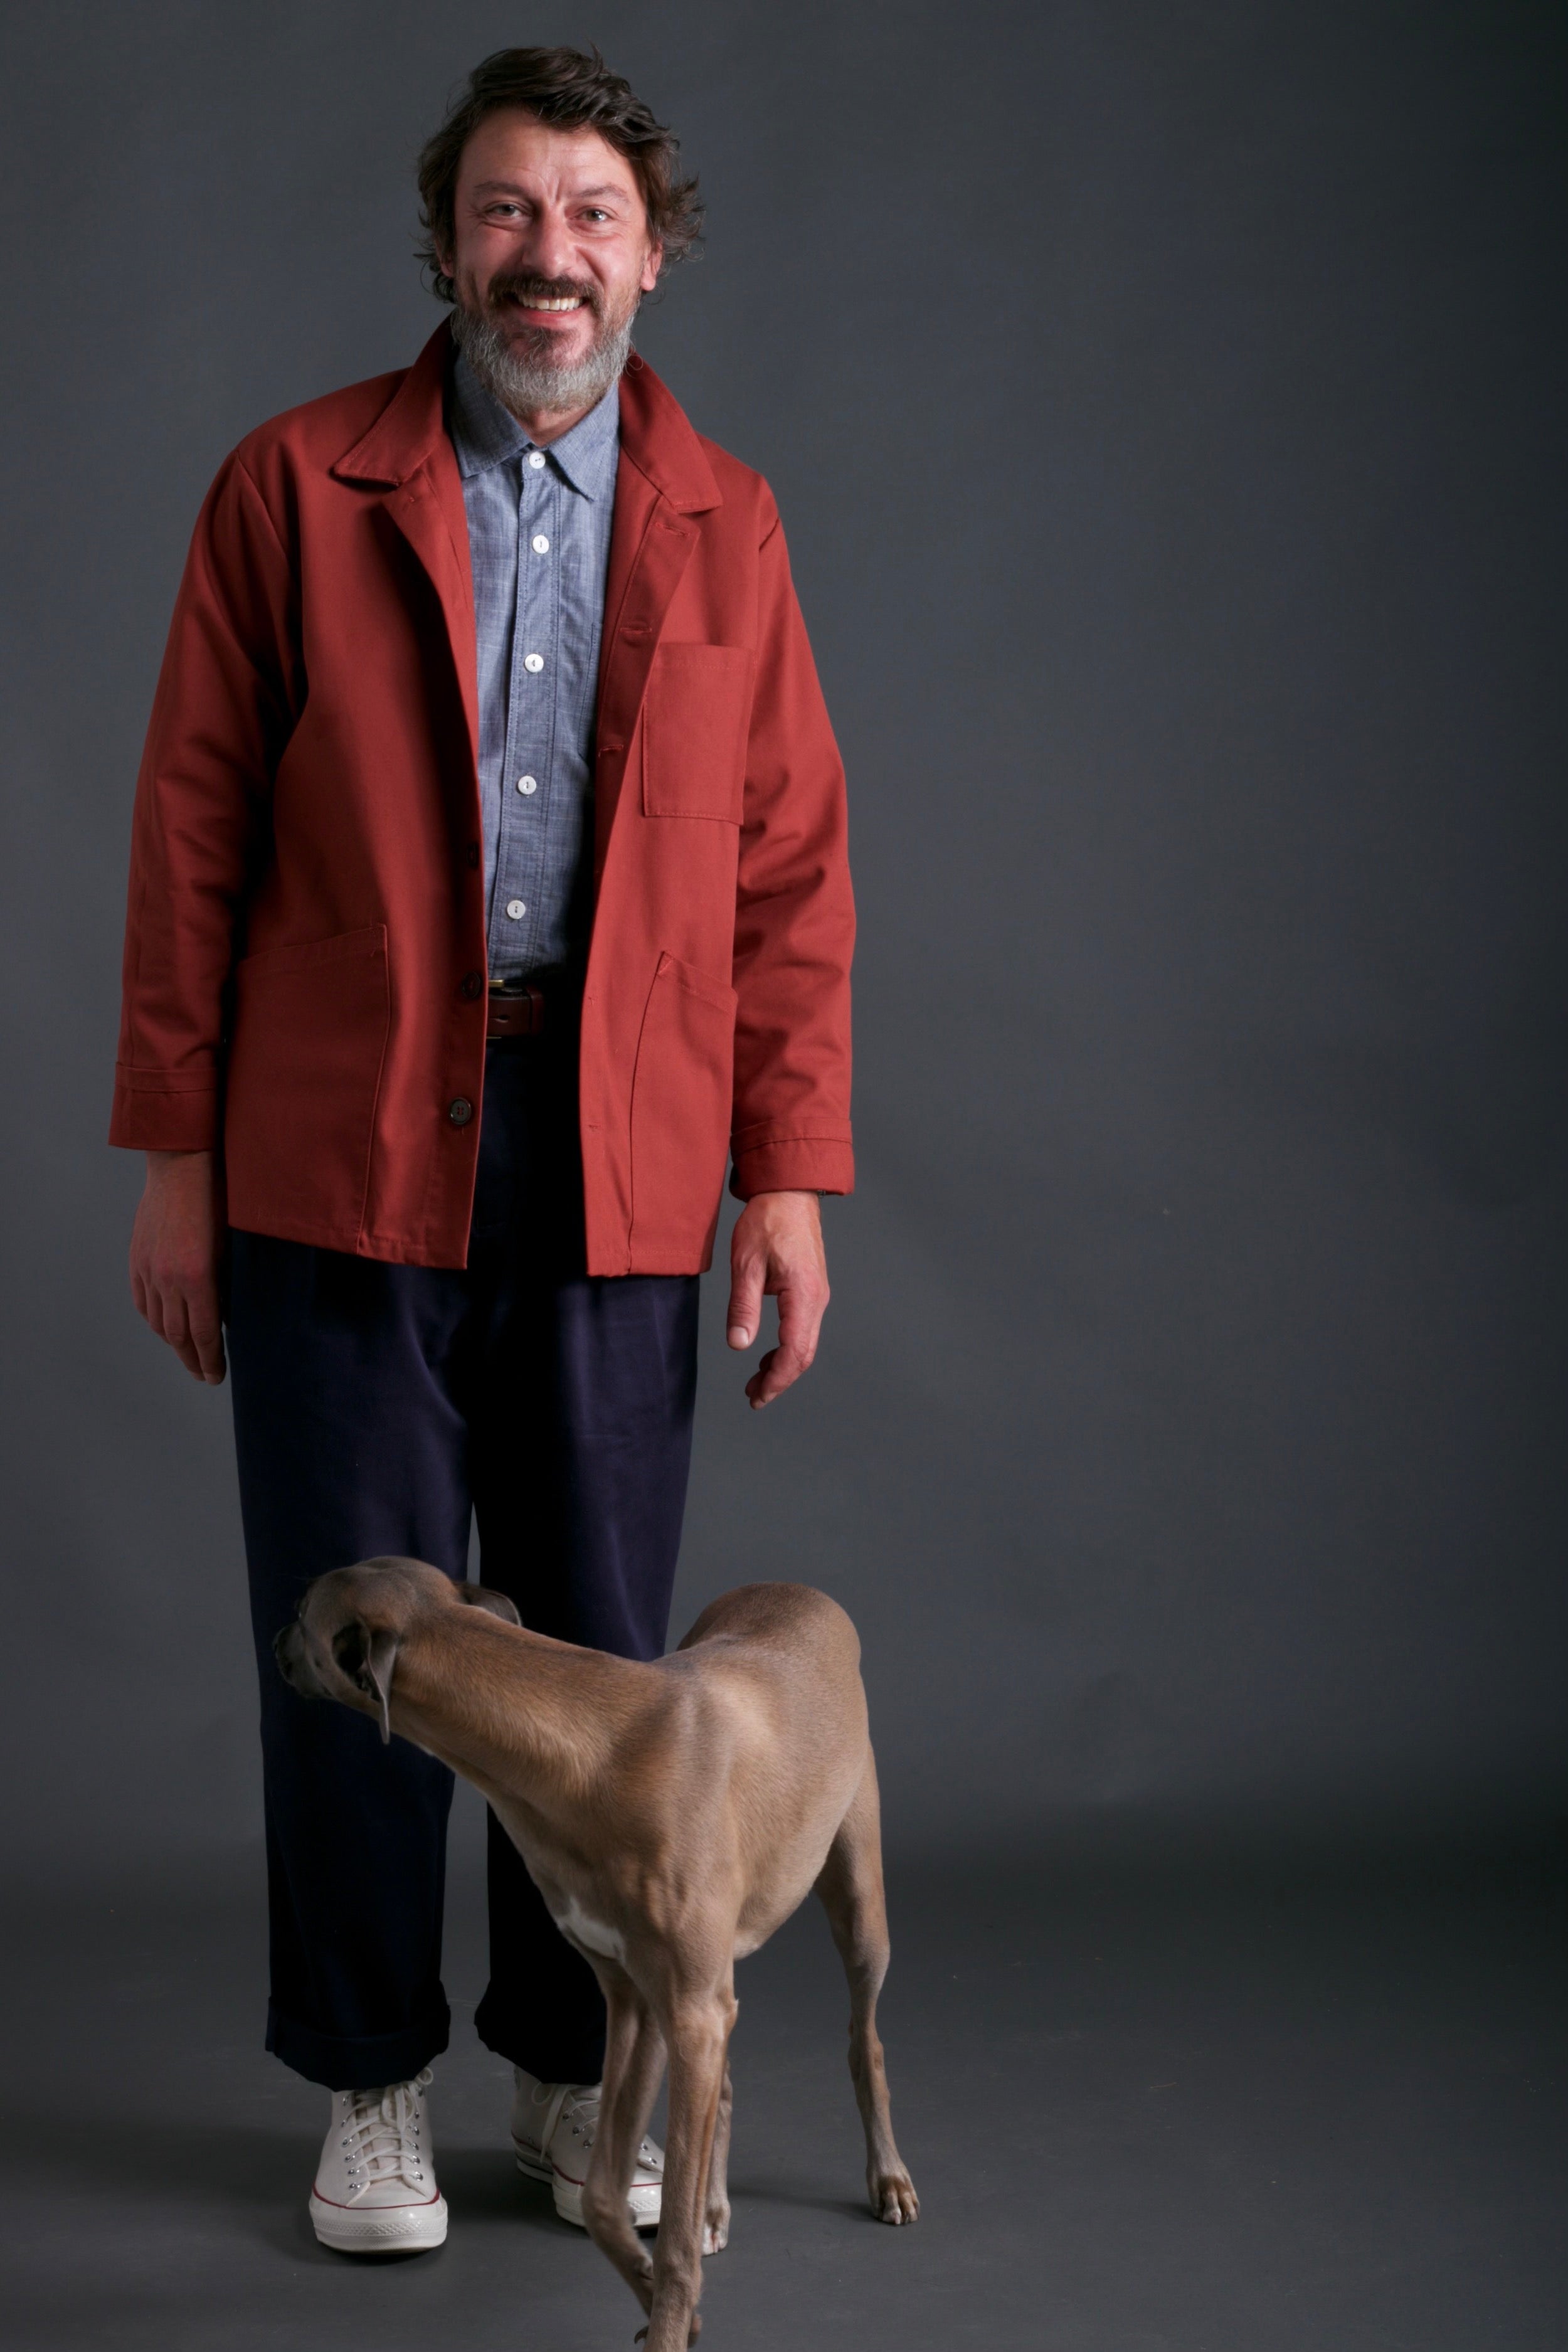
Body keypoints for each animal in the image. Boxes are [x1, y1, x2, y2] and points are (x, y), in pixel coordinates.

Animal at [277, 1552, 921, 2343]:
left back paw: (886, 2179)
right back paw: (714, 2208)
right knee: (724, 2087)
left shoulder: (684, 2006)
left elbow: (665, 2230)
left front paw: (670, 2321)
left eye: (303, 1611)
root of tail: (799, 1589)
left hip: (857, 1906)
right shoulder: (641, 2002)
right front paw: (658, 2295)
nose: (273, 1642)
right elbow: (604, 2201)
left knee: (866, 2042)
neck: (589, 1743)